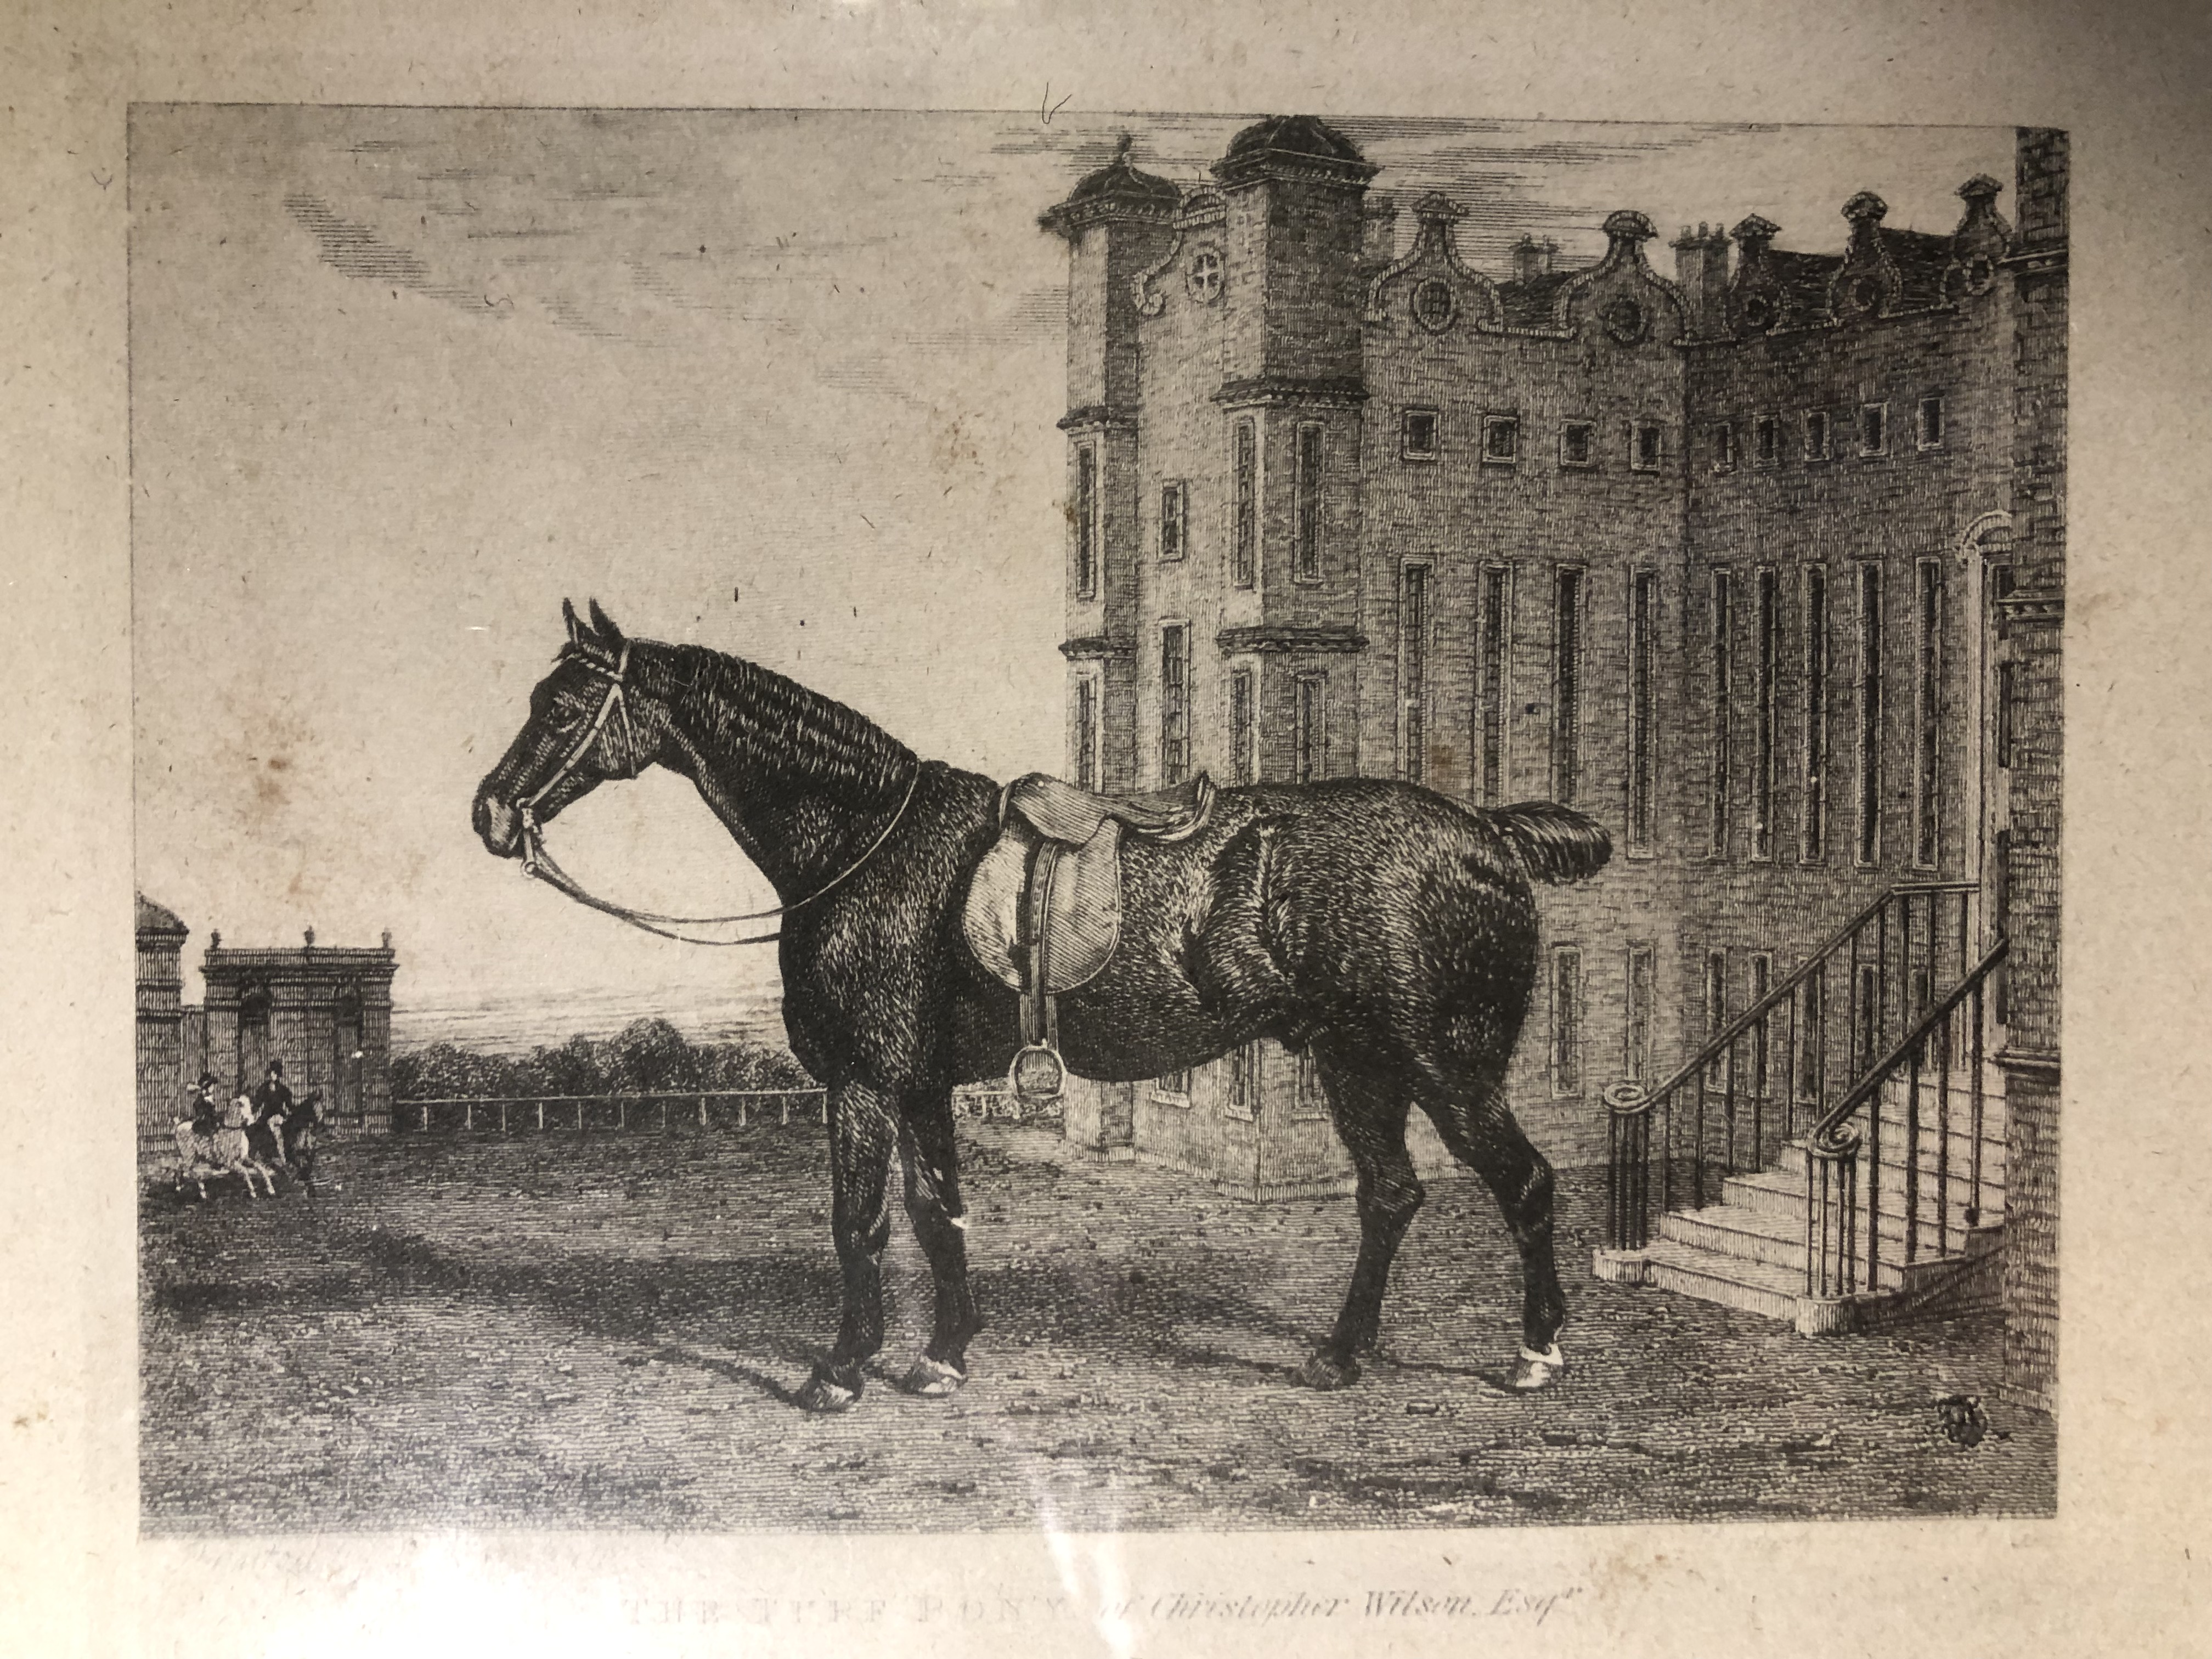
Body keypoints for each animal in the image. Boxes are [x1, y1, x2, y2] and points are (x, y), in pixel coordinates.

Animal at [176, 1097, 283, 1203]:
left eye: (250, 1104)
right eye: (241, 1105)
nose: (251, 1120)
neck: (232, 1133)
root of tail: (179, 1126)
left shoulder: (245, 1158)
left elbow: (261, 1168)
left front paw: (271, 1190)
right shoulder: (230, 1163)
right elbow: (245, 1171)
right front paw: (253, 1193)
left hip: (195, 1157)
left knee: (186, 1170)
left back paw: (196, 1191)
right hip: (189, 1157)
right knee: (185, 1169)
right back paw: (187, 1189)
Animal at [475, 606, 1610, 1415]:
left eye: (564, 708)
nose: (490, 812)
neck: (865, 843)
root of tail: (1488, 832)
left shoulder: (865, 1081)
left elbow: (859, 1219)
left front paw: (841, 1368)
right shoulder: (920, 1084)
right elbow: (937, 1212)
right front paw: (942, 1354)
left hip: (1445, 1062)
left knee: (1522, 1181)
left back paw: (1534, 1351)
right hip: (1356, 1061)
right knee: (1388, 1195)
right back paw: (1337, 1354)